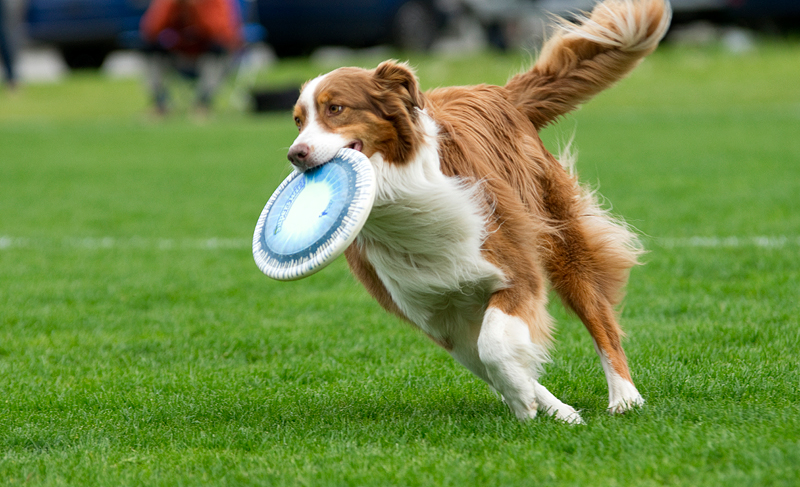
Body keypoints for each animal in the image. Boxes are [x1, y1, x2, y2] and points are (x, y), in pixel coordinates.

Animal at [284, 0, 672, 424]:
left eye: (336, 108)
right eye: (298, 121)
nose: (295, 154)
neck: (400, 193)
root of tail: (498, 92)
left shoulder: (516, 269)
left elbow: (496, 344)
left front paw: (525, 399)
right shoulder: (436, 314)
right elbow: (489, 356)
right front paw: (541, 404)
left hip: (561, 239)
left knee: (599, 317)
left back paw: (624, 396)